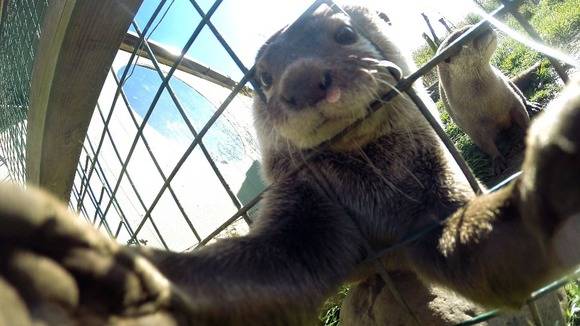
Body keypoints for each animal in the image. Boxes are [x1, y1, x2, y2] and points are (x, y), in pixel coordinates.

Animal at [438, 24, 532, 176]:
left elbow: (522, 114)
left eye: (471, 26)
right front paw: (497, 160)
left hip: (507, 80)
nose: (485, 25)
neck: (490, 103)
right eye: (465, 34)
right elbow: (485, 144)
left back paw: (532, 105)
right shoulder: (472, 126)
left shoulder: (512, 100)